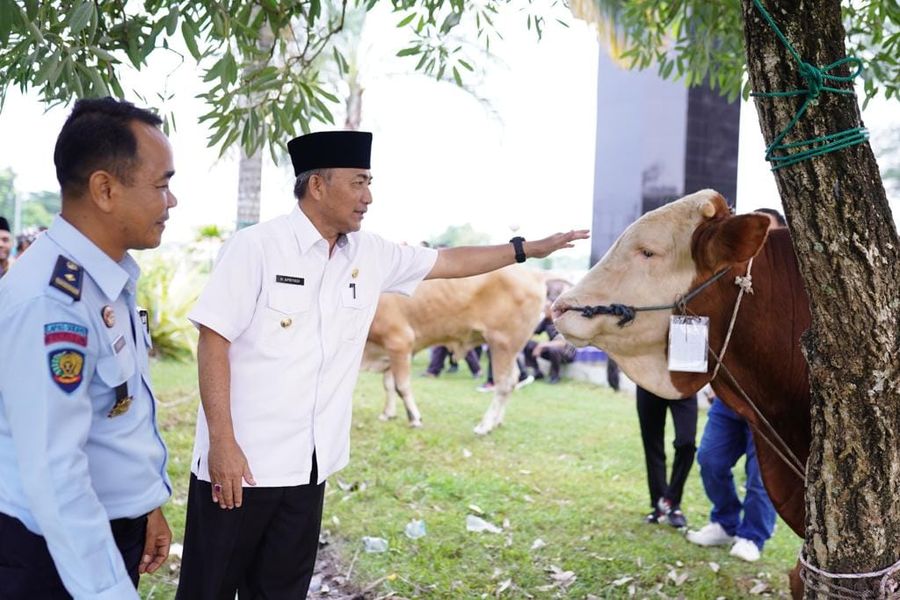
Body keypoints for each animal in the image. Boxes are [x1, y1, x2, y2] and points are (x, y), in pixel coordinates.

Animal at [362, 264, 544, 434]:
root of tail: (534, 273)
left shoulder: (400, 341)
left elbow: (401, 386)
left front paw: (414, 419)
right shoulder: (388, 351)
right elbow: (388, 385)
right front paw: (388, 414)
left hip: (503, 343)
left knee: (503, 384)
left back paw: (484, 426)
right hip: (509, 349)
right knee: (512, 380)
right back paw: (496, 421)